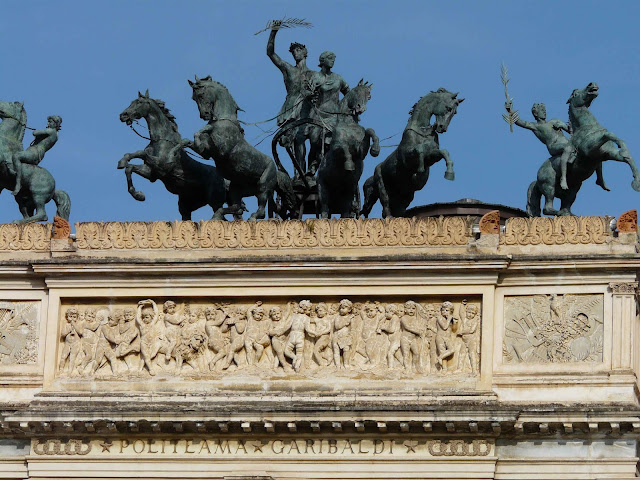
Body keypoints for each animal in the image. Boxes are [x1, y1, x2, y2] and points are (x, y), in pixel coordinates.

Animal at [362, 88, 462, 218]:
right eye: (448, 108)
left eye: (455, 112)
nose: (442, 128)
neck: (422, 132)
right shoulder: (407, 157)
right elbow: (419, 150)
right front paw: (420, 170)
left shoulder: (432, 156)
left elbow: (443, 152)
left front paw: (449, 173)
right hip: (380, 184)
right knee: (383, 204)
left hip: (405, 196)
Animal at [528, 83, 640, 217]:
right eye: (575, 94)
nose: (592, 84)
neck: (587, 126)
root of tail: (537, 178)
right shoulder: (589, 149)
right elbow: (607, 134)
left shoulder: (608, 153)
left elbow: (625, 155)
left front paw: (636, 182)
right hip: (549, 185)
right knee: (547, 208)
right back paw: (561, 211)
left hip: (574, 188)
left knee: (566, 204)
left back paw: (570, 213)